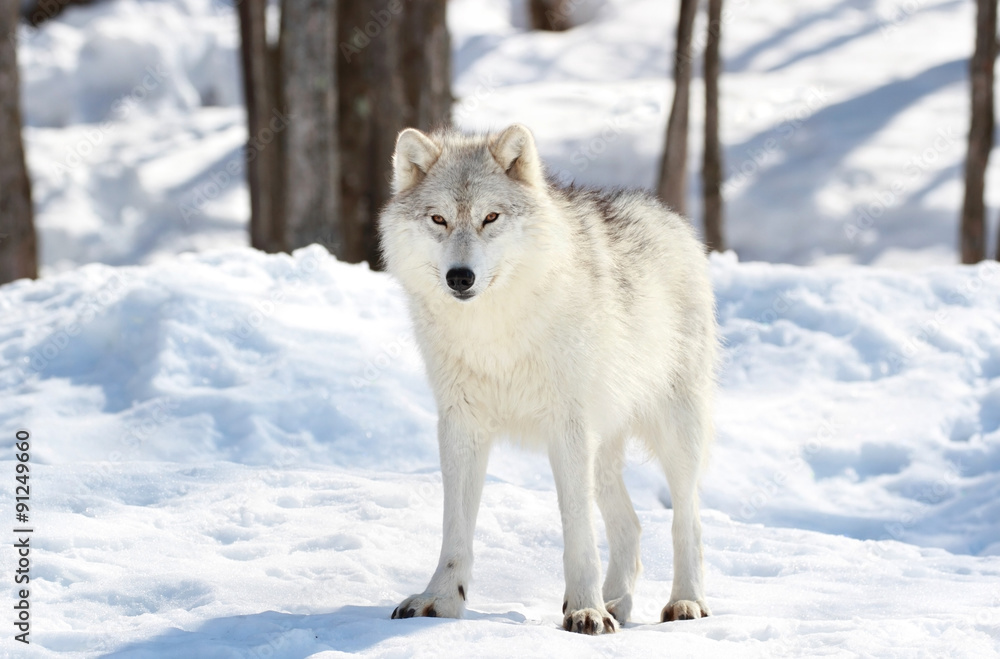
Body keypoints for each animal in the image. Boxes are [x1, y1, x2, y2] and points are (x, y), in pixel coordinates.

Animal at [378, 124, 716, 634]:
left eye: (490, 217)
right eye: (438, 219)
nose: (460, 277)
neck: (493, 333)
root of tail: (671, 218)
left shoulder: (568, 428)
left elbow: (578, 530)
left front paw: (585, 610)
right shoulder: (460, 425)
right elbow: (454, 529)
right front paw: (440, 600)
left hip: (674, 435)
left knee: (687, 521)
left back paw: (685, 603)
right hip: (603, 451)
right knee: (632, 526)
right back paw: (618, 603)